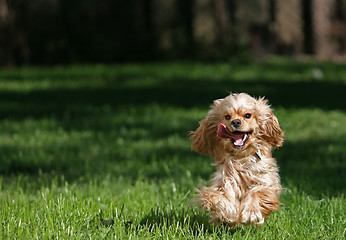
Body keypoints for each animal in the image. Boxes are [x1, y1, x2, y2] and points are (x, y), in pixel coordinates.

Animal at [189, 93, 284, 228]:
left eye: (247, 115)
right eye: (227, 116)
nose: (235, 122)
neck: (241, 157)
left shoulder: (266, 182)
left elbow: (257, 193)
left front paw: (251, 213)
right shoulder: (226, 180)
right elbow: (221, 196)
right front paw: (227, 213)